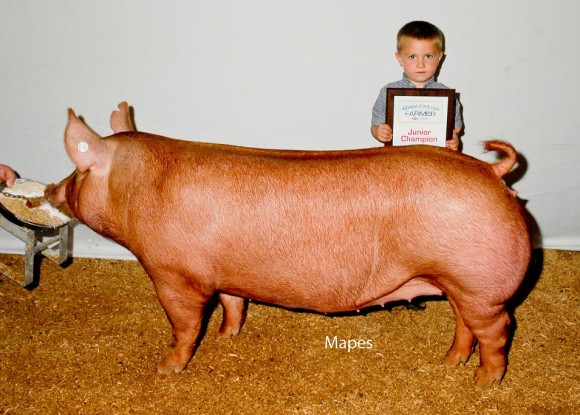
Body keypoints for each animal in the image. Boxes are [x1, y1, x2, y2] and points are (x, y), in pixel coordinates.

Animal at [46, 103, 532, 390]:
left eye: (78, 172)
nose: (50, 189)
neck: (136, 188)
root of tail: (491, 172)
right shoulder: (227, 273)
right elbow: (234, 303)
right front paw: (227, 336)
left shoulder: (174, 275)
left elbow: (185, 325)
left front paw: (166, 369)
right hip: (462, 283)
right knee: (466, 325)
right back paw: (450, 364)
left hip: (480, 284)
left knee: (498, 329)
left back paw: (483, 384)